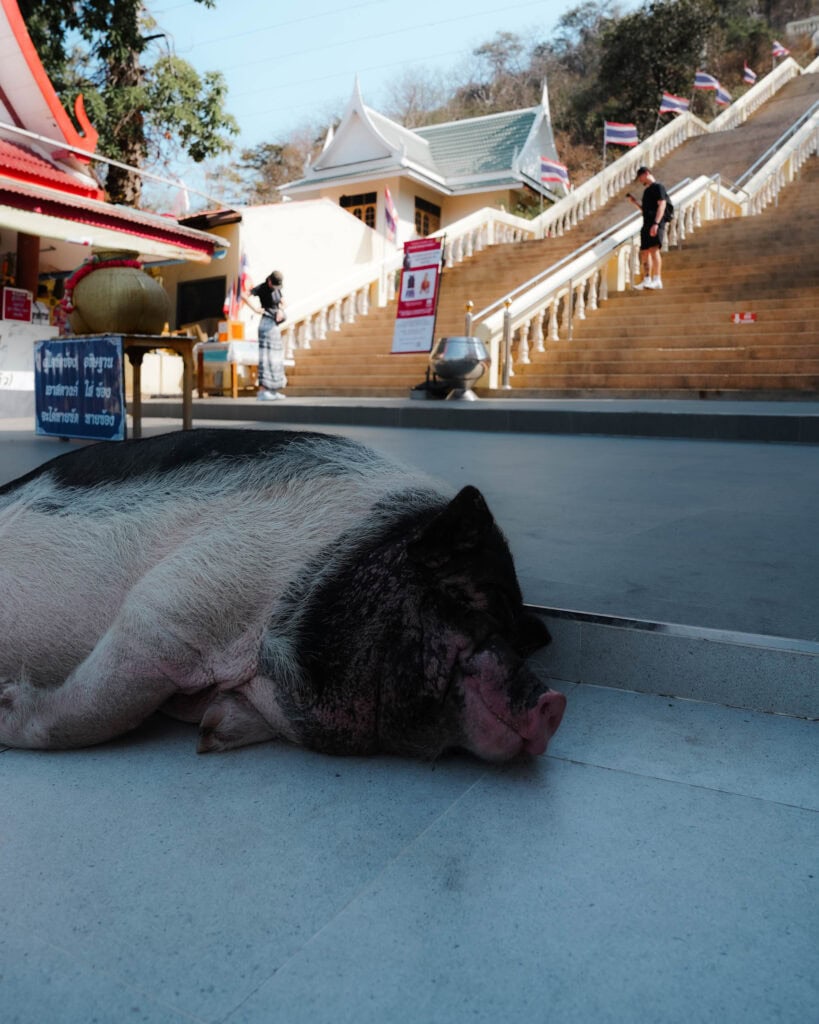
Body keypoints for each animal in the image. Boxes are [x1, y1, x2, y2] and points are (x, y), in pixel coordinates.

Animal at [0, 428, 565, 761]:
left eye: (519, 637)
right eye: (475, 597)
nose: (555, 702)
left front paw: (209, 731)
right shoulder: (180, 601)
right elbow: (102, 706)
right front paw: (6, 706)